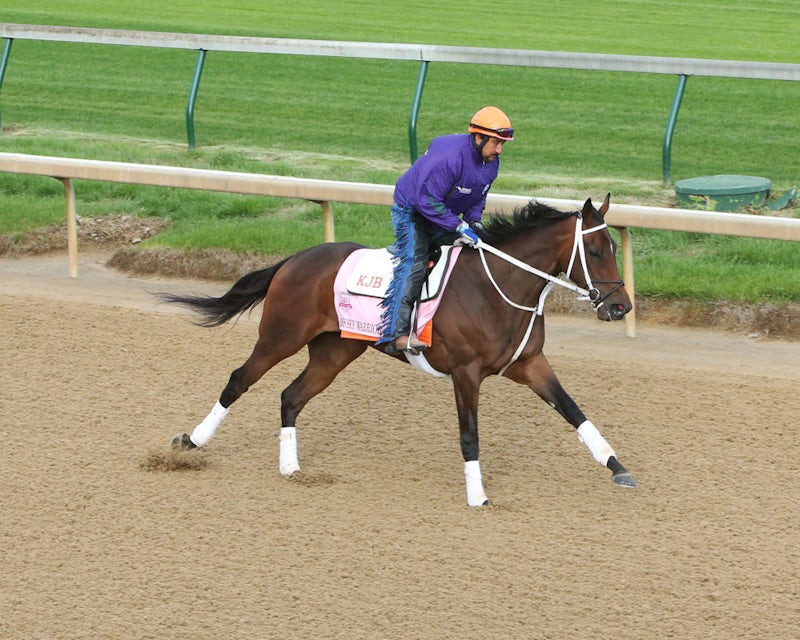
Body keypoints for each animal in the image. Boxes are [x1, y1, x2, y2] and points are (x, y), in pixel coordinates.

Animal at [162, 194, 636, 506]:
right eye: (596, 250)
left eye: (615, 247)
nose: (620, 307)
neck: (499, 286)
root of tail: (295, 259)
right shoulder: (466, 373)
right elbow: (469, 435)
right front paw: (478, 495)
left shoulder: (530, 364)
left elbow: (574, 412)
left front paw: (617, 467)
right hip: (280, 336)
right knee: (239, 380)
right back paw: (192, 440)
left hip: (334, 352)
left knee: (290, 396)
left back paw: (290, 468)